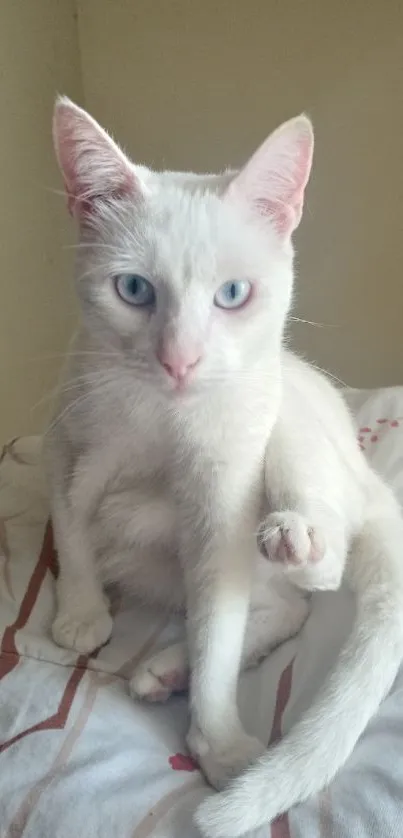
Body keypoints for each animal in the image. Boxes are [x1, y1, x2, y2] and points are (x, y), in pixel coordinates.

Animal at [45, 98, 403, 838]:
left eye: (233, 294)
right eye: (133, 289)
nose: (179, 361)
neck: (160, 421)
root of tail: (371, 481)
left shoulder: (221, 504)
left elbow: (218, 625)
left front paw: (218, 741)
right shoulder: (64, 437)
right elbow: (70, 526)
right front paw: (81, 611)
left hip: (283, 419)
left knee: (312, 581)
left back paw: (294, 542)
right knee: (282, 608)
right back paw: (165, 668)